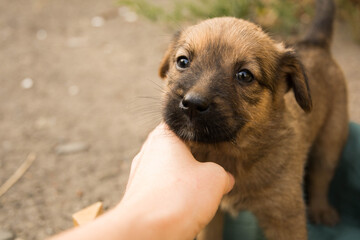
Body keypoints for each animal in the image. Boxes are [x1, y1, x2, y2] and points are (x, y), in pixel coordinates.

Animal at [159, 0, 348, 239]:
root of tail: (316, 43)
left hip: (331, 139)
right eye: (183, 61)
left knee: (322, 176)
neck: (229, 153)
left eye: (244, 75)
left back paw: (321, 209)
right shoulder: (211, 211)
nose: (192, 104)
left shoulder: (285, 218)